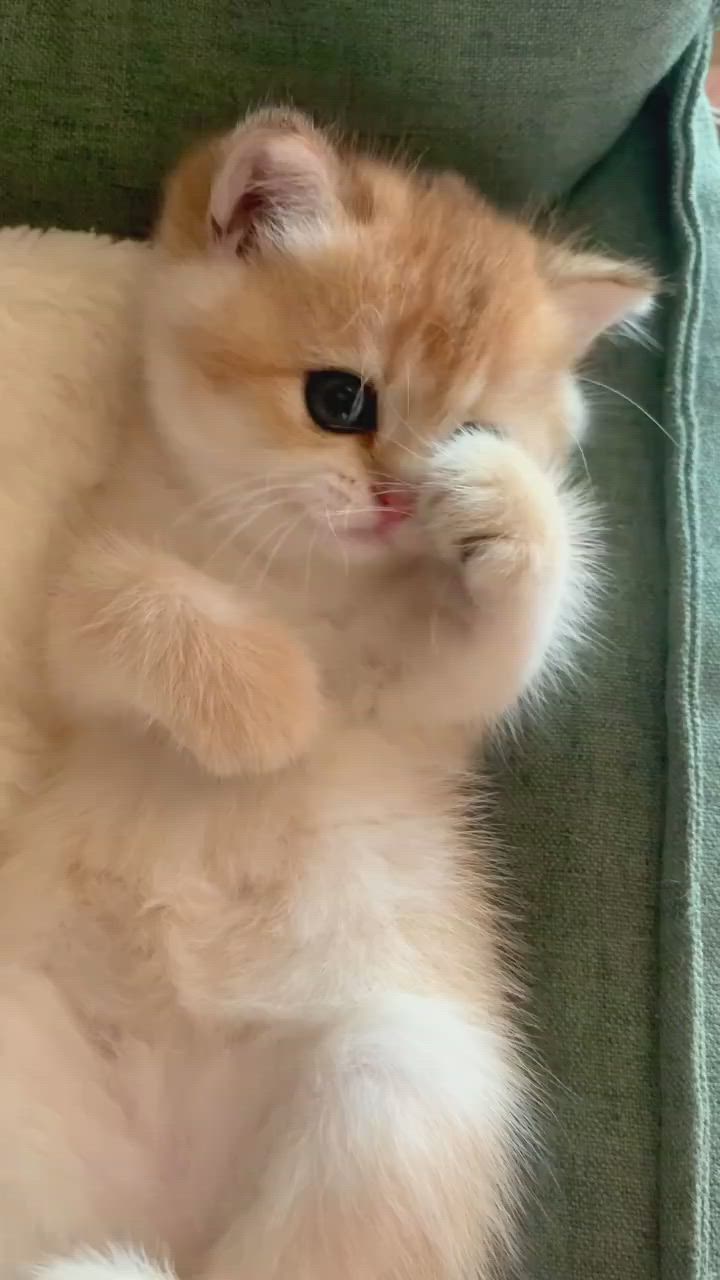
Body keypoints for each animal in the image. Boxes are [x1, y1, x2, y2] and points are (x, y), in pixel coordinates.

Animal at [0, 110, 650, 1280]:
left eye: (467, 432)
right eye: (339, 399)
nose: (396, 499)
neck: (296, 577)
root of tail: (162, 1208)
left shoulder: (428, 699)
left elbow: (517, 615)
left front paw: (503, 505)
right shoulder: (79, 599)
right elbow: (141, 603)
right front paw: (271, 710)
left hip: (396, 1081)